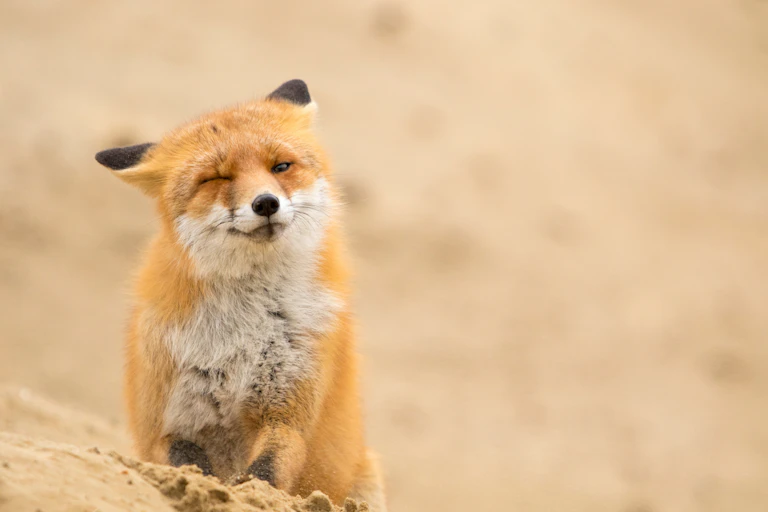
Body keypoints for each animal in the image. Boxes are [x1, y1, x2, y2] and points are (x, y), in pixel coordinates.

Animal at [95, 80, 386, 510]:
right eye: (217, 178)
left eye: (280, 167)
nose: (265, 203)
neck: (239, 331)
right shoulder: (167, 422)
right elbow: (190, 466)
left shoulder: (287, 412)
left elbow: (265, 473)